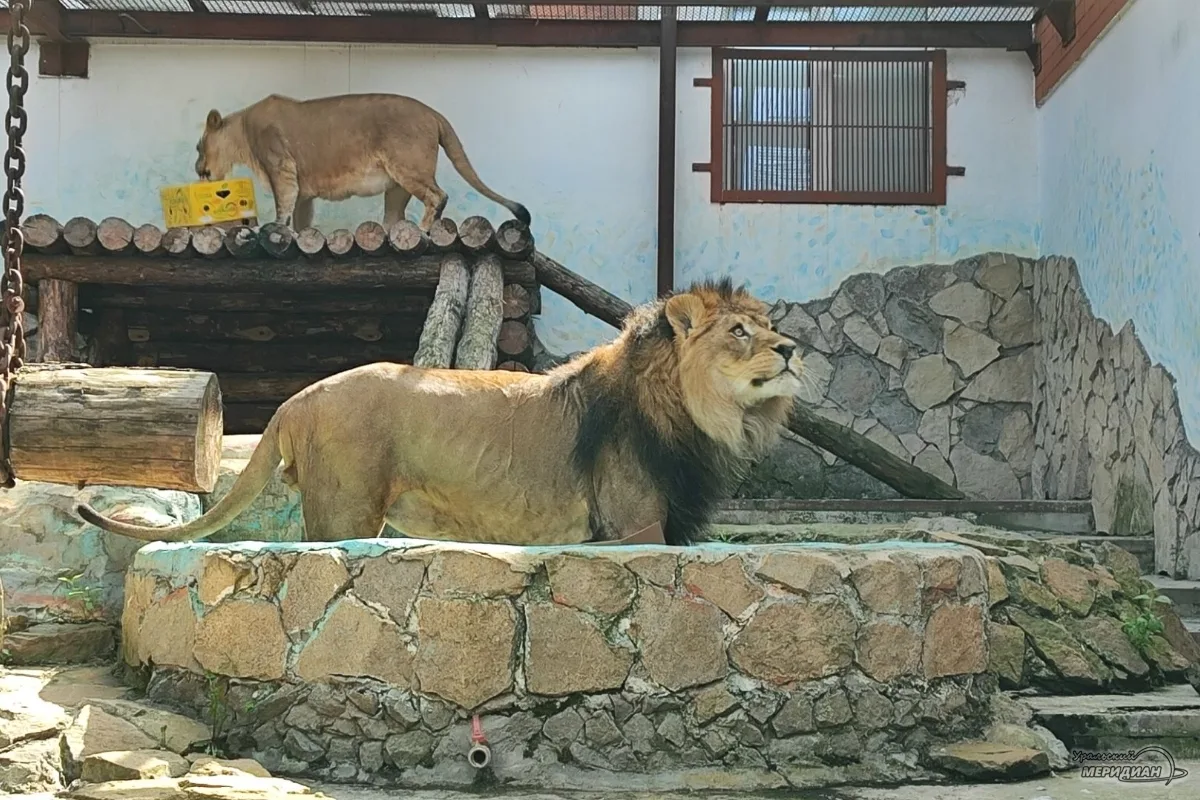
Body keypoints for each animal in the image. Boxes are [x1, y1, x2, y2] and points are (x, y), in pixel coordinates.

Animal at [76, 280, 804, 547]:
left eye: (769, 325)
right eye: (739, 331)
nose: (793, 348)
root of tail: (298, 397)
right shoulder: (634, 529)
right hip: (343, 512)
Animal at [193, 93, 530, 232]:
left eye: (198, 146)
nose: (197, 169)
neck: (241, 131)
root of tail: (434, 113)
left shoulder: (281, 167)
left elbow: (282, 205)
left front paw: (276, 227)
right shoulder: (304, 191)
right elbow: (301, 218)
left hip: (407, 167)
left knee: (438, 196)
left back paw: (424, 229)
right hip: (396, 188)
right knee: (395, 217)